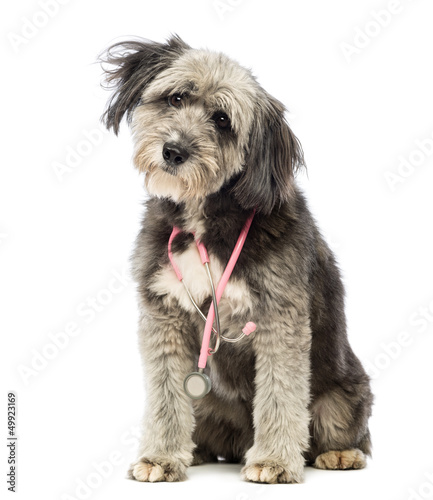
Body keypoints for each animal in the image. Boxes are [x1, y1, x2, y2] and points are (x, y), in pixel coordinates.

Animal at [99, 35, 372, 484]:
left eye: (223, 120)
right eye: (176, 97)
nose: (173, 151)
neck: (204, 220)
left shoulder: (280, 316)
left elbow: (280, 392)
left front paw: (275, 461)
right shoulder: (163, 313)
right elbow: (165, 393)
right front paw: (162, 455)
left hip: (343, 395)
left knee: (348, 431)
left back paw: (339, 453)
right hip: (207, 403)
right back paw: (197, 451)